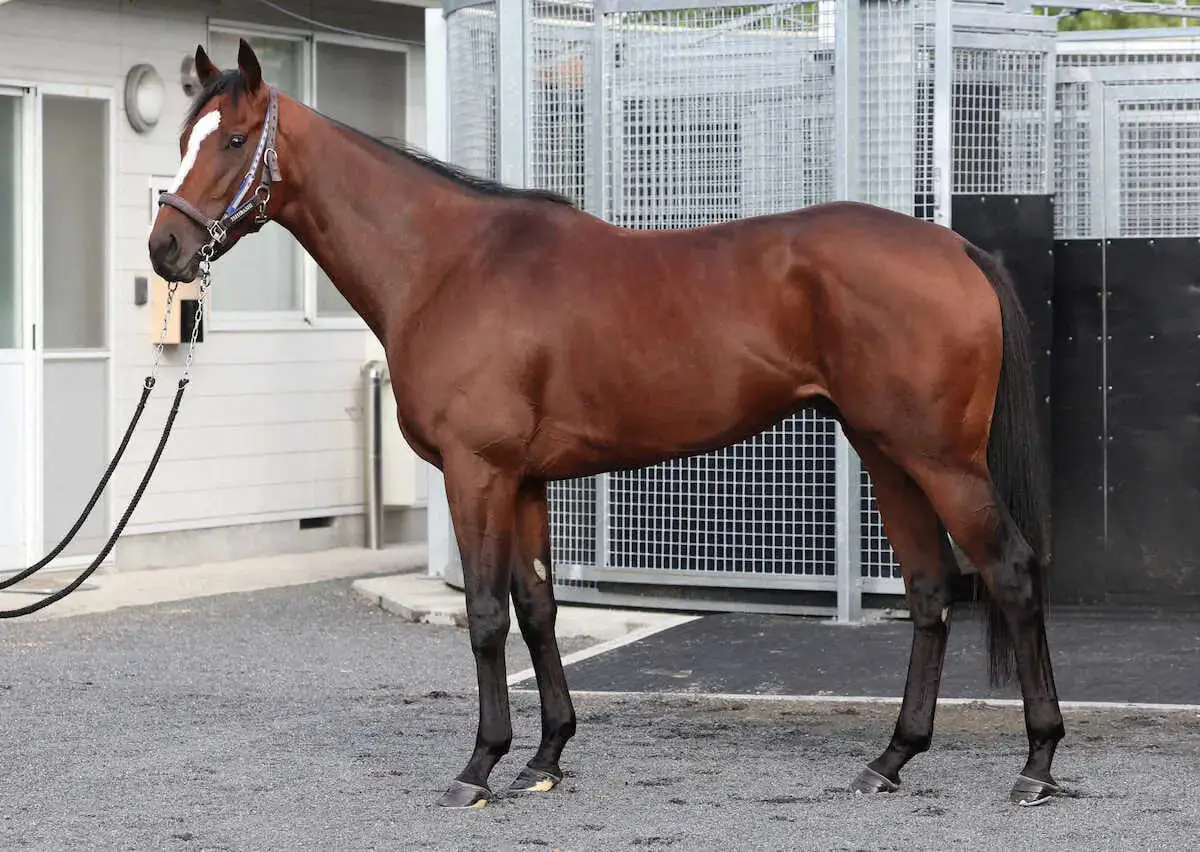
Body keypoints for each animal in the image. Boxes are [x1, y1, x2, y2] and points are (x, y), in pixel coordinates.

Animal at [147, 40, 1060, 811]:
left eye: (233, 140)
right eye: (185, 136)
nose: (165, 250)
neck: (449, 266)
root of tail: (955, 250)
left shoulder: (476, 472)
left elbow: (486, 615)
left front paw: (478, 768)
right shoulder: (525, 481)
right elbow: (538, 608)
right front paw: (545, 758)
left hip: (941, 459)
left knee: (1011, 571)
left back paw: (1037, 765)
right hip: (887, 453)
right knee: (931, 588)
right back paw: (891, 759)